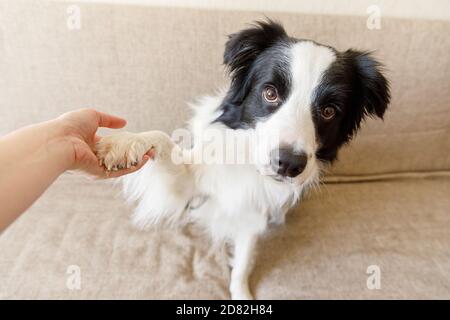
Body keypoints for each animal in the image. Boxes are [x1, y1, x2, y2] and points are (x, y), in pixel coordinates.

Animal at [96, 20, 390, 300]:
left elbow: (244, 260)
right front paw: (123, 143)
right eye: (270, 93)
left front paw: (240, 292)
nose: (288, 164)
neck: (248, 164)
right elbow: (163, 142)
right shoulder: (191, 181)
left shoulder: (255, 210)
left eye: (329, 111)